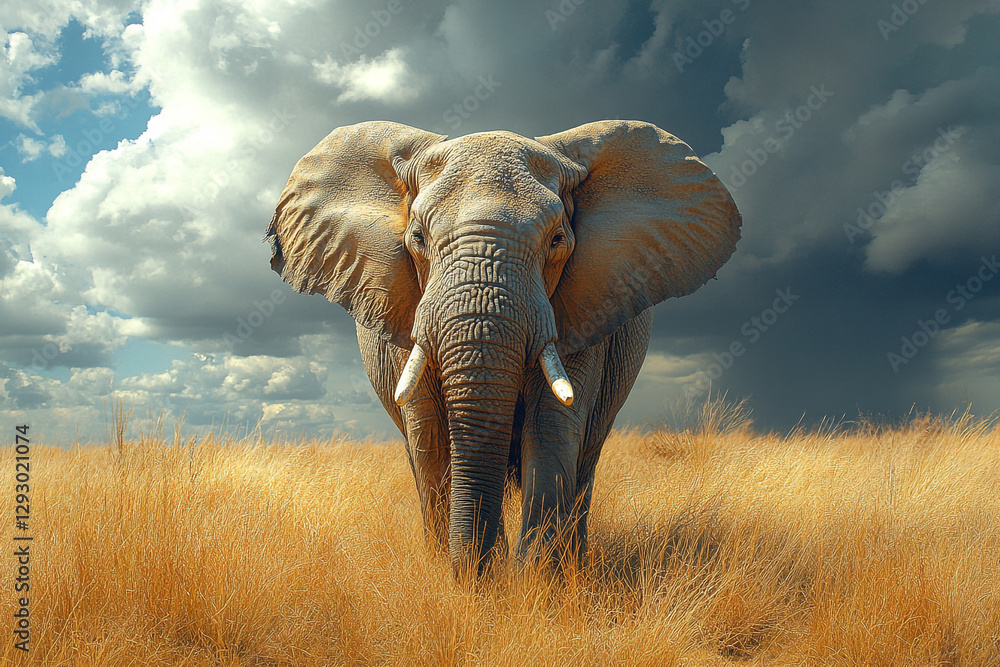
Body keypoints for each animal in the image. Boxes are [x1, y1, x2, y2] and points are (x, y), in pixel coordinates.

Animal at [265, 120, 741, 573]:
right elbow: (429, 432)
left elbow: (551, 424)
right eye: (417, 238)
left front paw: (534, 581)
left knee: (585, 458)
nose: (482, 568)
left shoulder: (586, 304)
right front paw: (455, 574)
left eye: (557, 241)